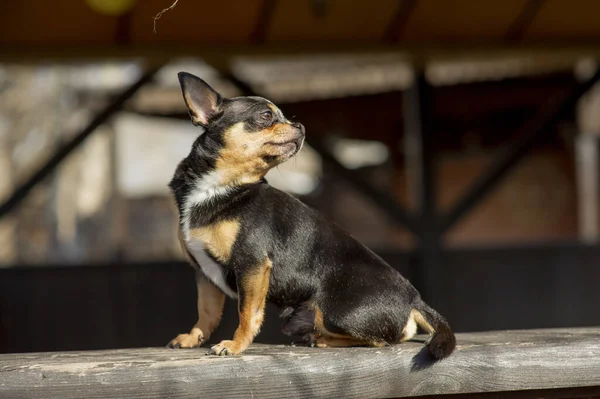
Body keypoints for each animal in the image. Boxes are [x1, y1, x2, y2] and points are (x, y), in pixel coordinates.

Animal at [164, 72, 454, 360]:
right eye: (266, 116)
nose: (300, 126)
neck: (219, 187)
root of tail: (415, 300)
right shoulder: (204, 274)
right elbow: (207, 312)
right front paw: (193, 338)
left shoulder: (252, 264)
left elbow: (248, 313)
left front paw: (235, 345)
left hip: (336, 313)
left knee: (381, 340)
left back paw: (321, 339)